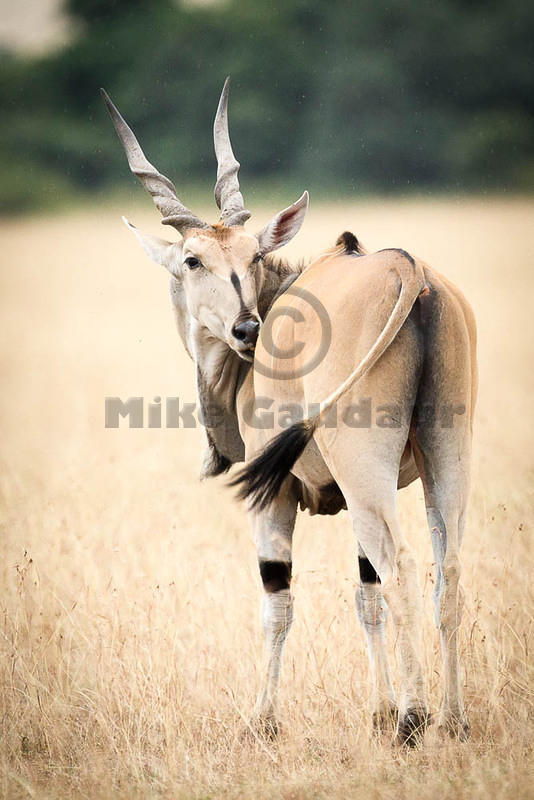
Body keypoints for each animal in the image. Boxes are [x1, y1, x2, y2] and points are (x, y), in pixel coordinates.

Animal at [102, 79, 480, 744]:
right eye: (194, 259)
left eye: (254, 255)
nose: (247, 328)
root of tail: (409, 269)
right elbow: (365, 596)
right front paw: (376, 711)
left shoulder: (274, 497)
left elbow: (278, 605)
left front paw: (263, 720)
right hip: (443, 456)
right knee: (448, 570)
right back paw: (453, 718)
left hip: (366, 471)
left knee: (405, 566)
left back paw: (414, 720)